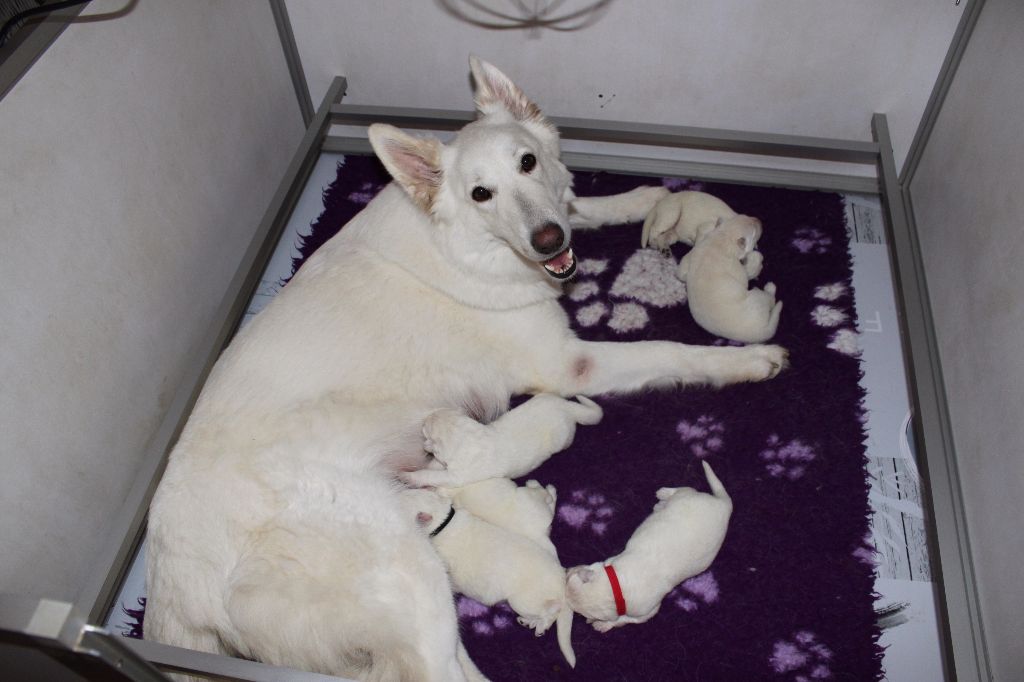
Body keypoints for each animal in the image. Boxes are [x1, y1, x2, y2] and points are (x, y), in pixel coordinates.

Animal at [405, 393, 602, 489]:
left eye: (425, 431)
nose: (424, 419)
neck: (467, 437)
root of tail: (566, 406)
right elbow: (435, 465)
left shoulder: (456, 476)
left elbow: (433, 475)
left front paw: (411, 476)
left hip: (563, 435)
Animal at [565, 458, 733, 630]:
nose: (567, 571)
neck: (617, 588)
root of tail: (724, 506)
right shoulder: (612, 561)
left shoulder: (647, 612)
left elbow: (625, 619)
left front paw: (603, 624)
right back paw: (661, 501)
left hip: (690, 499)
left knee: (684, 489)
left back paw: (663, 495)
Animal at [675, 214, 778, 342]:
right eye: (754, 233)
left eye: (743, 215)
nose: (759, 220)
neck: (722, 238)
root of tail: (760, 333)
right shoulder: (736, 267)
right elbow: (745, 277)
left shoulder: (691, 256)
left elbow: (681, 271)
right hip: (758, 297)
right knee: (770, 299)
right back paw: (770, 287)